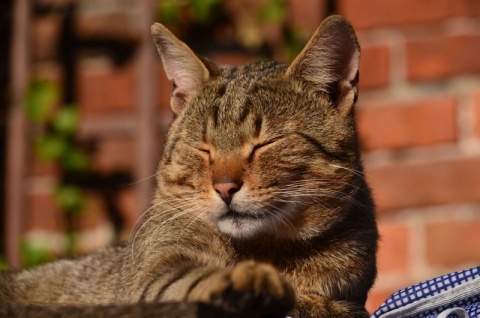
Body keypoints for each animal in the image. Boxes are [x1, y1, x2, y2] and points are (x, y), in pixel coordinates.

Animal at [0, 15, 378, 318]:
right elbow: (185, 279)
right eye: (203, 148)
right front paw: (249, 283)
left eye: (265, 144)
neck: (271, 249)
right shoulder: (156, 270)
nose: (225, 187)